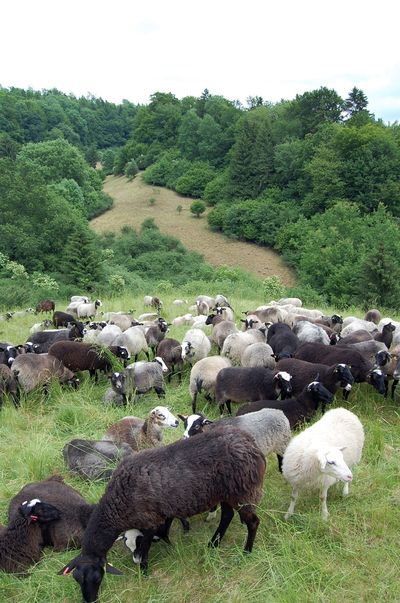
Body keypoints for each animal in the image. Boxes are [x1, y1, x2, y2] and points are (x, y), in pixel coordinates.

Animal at [60, 428, 266, 600]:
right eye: (76, 579)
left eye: (97, 578)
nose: (90, 600)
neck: (117, 503)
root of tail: (250, 442)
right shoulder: (159, 513)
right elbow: (164, 528)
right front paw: (167, 540)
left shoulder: (149, 520)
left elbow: (145, 547)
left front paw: (144, 572)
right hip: (226, 492)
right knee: (227, 515)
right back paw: (213, 544)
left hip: (242, 490)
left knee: (253, 522)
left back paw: (246, 552)